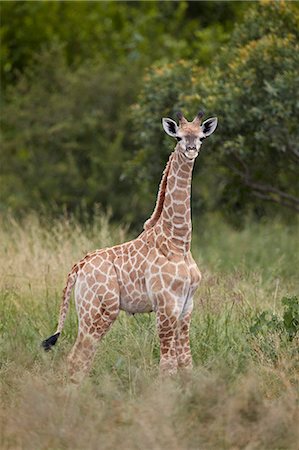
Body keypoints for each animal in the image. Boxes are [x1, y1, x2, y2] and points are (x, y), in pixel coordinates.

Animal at [42, 110, 218, 382]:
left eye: (201, 137)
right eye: (178, 137)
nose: (191, 149)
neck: (178, 241)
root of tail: (78, 268)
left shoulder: (187, 305)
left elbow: (186, 363)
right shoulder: (165, 305)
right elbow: (167, 365)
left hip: (89, 311)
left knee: (82, 358)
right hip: (99, 310)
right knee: (77, 357)